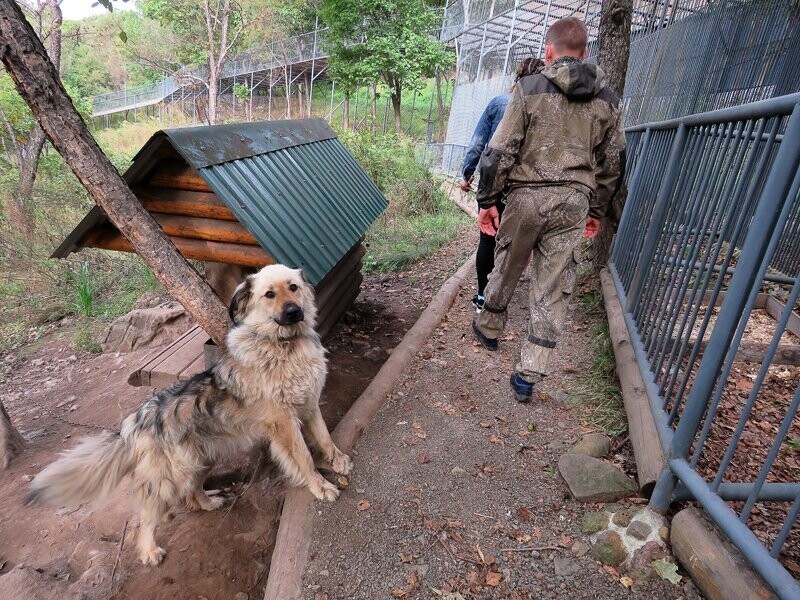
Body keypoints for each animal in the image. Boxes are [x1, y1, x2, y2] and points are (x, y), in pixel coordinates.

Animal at [26, 264, 352, 564]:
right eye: (269, 294)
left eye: (293, 287)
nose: (294, 312)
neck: (284, 345)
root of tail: (135, 421)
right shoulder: (283, 423)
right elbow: (304, 458)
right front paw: (320, 486)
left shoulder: (309, 404)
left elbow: (324, 437)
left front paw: (337, 460)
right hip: (170, 477)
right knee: (146, 516)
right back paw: (149, 551)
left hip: (199, 461)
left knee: (193, 494)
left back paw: (209, 503)